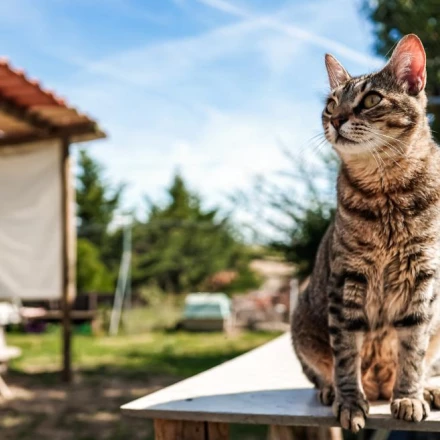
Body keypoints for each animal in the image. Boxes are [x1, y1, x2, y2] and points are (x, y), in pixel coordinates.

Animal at [292, 35, 440, 434]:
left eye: (371, 100)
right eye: (330, 104)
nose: (336, 119)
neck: (386, 191)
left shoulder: (422, 279)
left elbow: (412, 350)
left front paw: (409, 396)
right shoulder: (347, 281)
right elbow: (346, 354)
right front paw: (349, 402)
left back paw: (428, 390)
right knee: (322, 371)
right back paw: (332, 391)